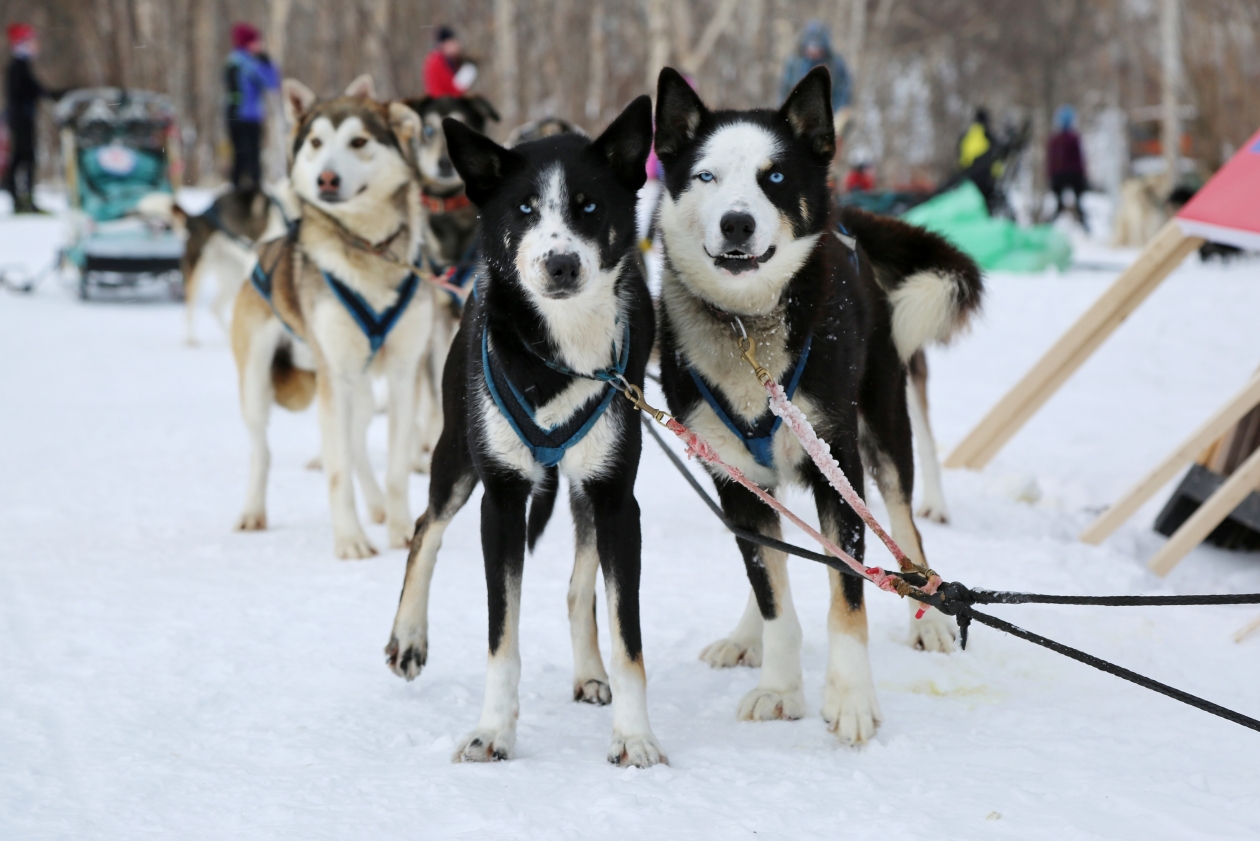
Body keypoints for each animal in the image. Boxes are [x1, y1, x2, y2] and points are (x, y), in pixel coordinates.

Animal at [383, 95, 665, 766]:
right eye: (525, 208)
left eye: (588, 205)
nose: (560, 263)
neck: (559, 355)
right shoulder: (503, 497)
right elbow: (501, 636)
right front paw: (492, 731)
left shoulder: (617, 499)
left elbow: (628, 637)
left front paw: (634, 736)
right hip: (456, 454)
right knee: (424, 527)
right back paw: (408, 635)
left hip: (586, 486)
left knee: (578, 587)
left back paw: (590, 673)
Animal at [650, 69, 982, 746]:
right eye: (706, 176)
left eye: (775, 177)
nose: (737, 224)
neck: (748, 330)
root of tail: (846, 219)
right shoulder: (735, 481)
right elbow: (773, 592)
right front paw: (780, 685)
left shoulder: (840, 471)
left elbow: (846, 594)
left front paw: (850, 699)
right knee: (768, 558)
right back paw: (746, 634)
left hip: (885, 428)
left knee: (906, 528)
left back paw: (930, 617)